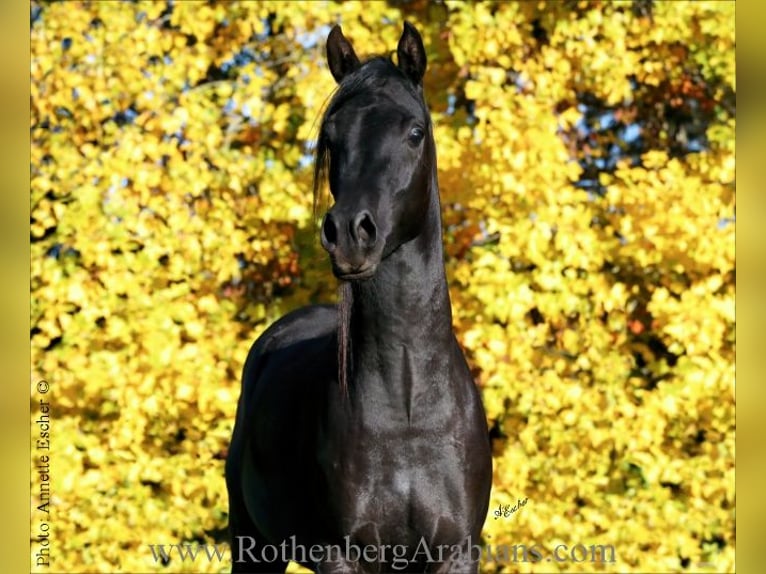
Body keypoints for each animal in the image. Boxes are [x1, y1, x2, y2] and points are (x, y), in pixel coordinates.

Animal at [225, 21, 493, 573]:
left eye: (414, 132)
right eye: (331, 137)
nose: (349, 232)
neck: (409, 412)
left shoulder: (457, 552)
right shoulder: (342, 555)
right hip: (252, 546)